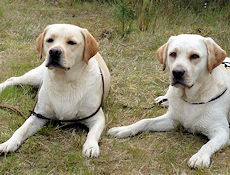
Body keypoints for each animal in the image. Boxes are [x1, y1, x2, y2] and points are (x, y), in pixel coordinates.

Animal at [0, 23, 110, 157]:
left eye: (72, 42)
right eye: (49, 40)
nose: (54, 51)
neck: (63, 81)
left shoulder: (97, 118)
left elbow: (93, 133)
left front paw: (91, 146)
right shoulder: (38, 115)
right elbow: (21, 129)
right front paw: (9, 142)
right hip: (35, 77)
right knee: (13, 79)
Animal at [108, 34, 230, 168]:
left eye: (194, 56)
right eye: (172, 54)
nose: (177, 72)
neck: (191, 98)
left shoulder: (221, 131)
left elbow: (208, 144)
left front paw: (200, 157)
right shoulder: (172, 119)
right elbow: (144, 121)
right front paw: (125, 129)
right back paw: (163, 100)